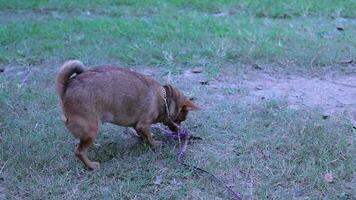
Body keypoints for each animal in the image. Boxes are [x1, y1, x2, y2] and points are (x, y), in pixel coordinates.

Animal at [55, 60, 197, 170]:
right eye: (180, 120)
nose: (179, 131)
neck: (164, 98)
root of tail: (66, 89)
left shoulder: (137, 125)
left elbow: (143, 134)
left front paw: (144, 140)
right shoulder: (143, 124)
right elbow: (149, 137)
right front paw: (155, 144)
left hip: (88, 132)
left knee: (81, 143)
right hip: (91, 129)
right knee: (79, 151)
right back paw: (91, 166)